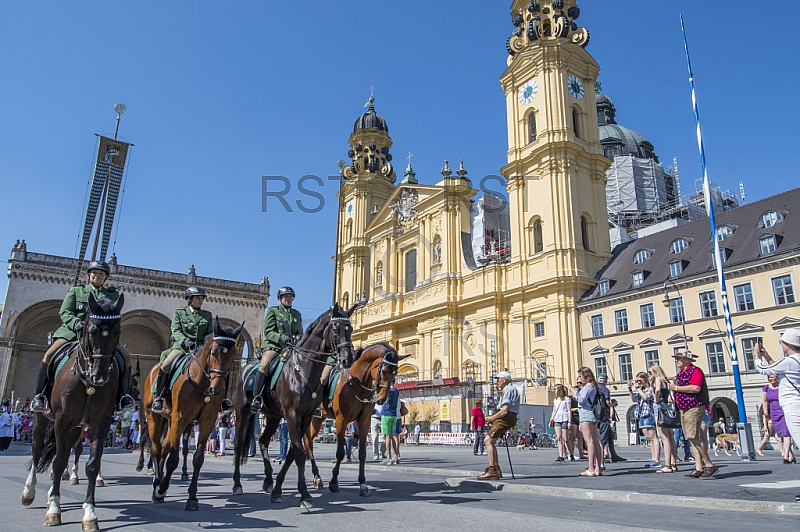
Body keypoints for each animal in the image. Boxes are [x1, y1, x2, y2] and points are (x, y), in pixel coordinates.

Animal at [21, 294, 125, 528]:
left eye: (117, 331)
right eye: (92, 330)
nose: (100, 375)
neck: (87, 382)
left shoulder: (101, 421)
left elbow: (92, 463)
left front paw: (89, 513)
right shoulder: (61, 419)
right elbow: (59, 461)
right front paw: (54, 509)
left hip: (77, 426)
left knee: (67, 448)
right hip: (42, 420)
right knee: (38, 448)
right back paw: (29, 492)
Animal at [143, 318, 244, 510]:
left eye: (233, 353)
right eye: (213, 351)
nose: (217, 389)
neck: (202, 384)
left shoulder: (207, 422)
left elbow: (197, 458)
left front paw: (192, 498)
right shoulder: (180, 419)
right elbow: (173, 458)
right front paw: (161, 489)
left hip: (171, 420)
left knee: (163, 447)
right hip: (154, 417)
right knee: (156, 448)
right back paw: (157, 484)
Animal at [231, 304, 356, 508]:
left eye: (350, 328)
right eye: (336, 327)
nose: (348, 359)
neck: (304, 370)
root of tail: (246, 368)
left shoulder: (305, 418)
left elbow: (292, 453)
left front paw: (278, 489)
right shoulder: (292, 415)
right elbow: (298, 453)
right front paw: (304, 494)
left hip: (273, 416)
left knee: (263, 441)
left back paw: (268, 480)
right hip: (243, 413)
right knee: (238, 444)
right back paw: (237, 484)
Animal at [306, 342, 406, 496]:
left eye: (395, 373)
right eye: (383, 371)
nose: (382, 398)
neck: (356, 382)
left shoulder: (364, 421)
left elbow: (362, 453)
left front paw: (363, 484)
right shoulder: (341, 420)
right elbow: (340, 452)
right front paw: (334, 482)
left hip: (318, 418)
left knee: (308, 441)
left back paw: (316, 477)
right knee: (307, 441)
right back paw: (315, 477)